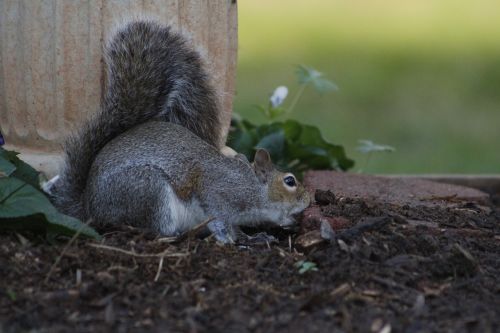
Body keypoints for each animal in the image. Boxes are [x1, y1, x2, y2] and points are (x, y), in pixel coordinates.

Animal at [49, 19, 308, 243]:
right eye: (290, 181)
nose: (308, 200)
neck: (253, 186)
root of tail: (90, 207)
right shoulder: (217, 192)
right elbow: (220, 218)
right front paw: (230, 239)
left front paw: (254, 237)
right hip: (149, 191)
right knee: (155, 228)